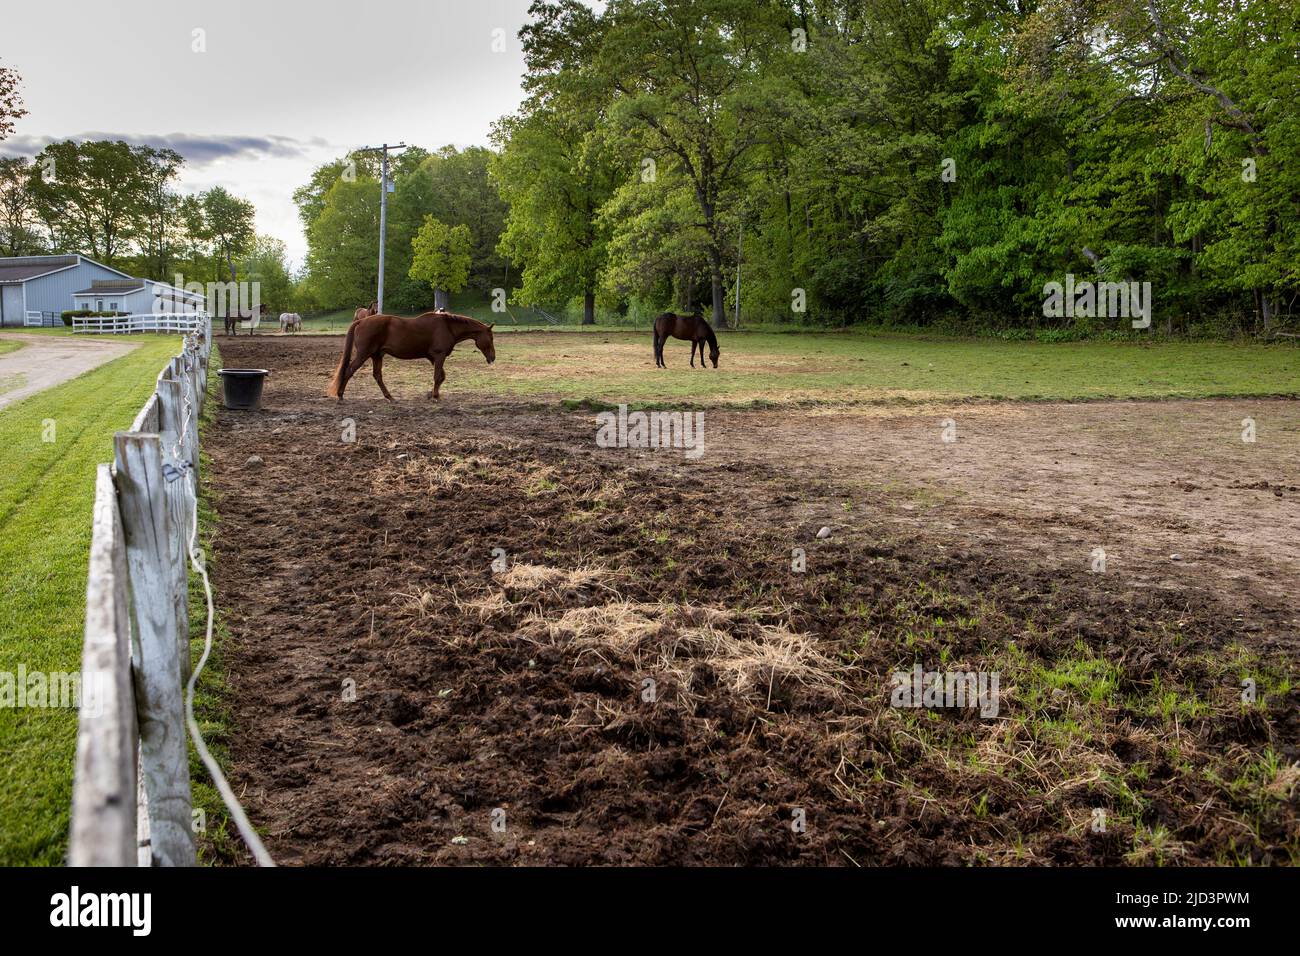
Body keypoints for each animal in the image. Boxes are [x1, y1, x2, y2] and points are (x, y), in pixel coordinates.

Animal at [325, 310, 496, 400]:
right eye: (491, 338)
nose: (493, 357)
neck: (447, 327)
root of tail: (361, 321)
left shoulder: (434, 358)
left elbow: (442, 376)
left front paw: (432, 394)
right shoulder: (439, 356)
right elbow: (438, 377)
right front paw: (435, 396)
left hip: (377, 355)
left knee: (377, 376)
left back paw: (389, 396)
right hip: (364, 354)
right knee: (349, 371)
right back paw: (340, 394)